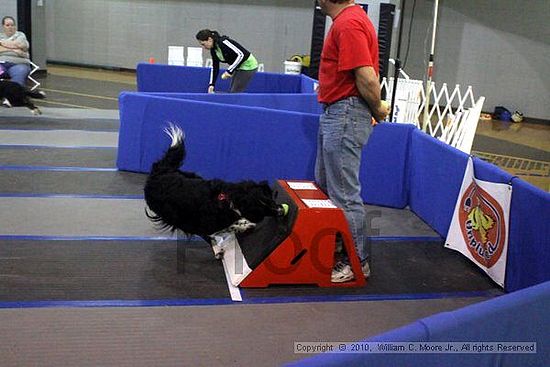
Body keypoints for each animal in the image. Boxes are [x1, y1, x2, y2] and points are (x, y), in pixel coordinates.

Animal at [142, 125, 288, 243]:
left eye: (270, 199)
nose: (281, 211)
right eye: (262, 209)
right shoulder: (205, 224)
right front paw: (245, 225)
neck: (232, 198)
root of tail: (159, 172)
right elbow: (227, 227)